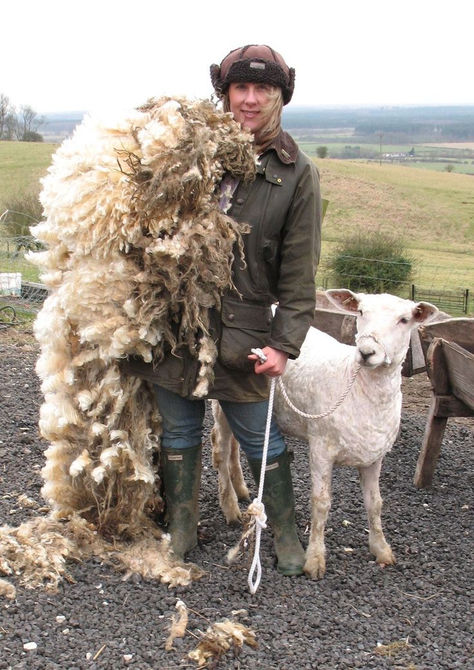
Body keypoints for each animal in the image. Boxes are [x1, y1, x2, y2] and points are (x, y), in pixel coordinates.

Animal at [213, 292, 438, 580]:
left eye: (404, 319)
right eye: (361, 312)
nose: (367, 352)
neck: (358, 386)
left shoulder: (374, 456)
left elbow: (375, 504)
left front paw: (381, 549)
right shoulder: (321, 447)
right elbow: (321, 503)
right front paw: (315, 559)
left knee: (235, 445)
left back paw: (241, 489)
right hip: (224, 398)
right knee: (220, 448)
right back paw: (230, 506)